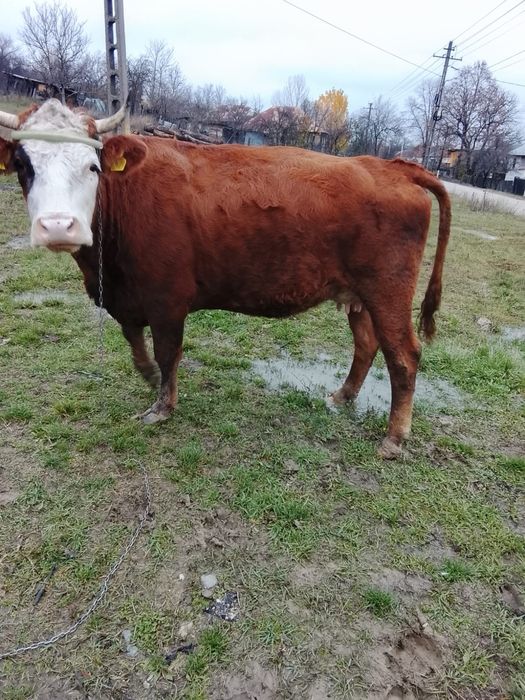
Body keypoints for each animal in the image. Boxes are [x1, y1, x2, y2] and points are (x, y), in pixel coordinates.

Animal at [0, 99, 451, 458]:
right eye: (22, 165)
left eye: (92, 166)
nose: (58, 226)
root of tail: (392, 166)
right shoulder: (127, 297)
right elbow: (134, 340)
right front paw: (148, 376)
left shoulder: (167, 300)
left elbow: (168, 352)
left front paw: (162, 407)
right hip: (358, 295)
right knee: (367, 344)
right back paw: (342, 396)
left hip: (388, 292)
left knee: (403, 356)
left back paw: (394, 438)